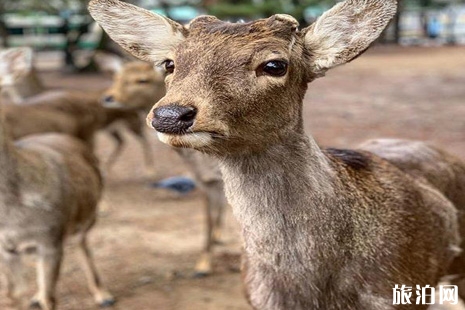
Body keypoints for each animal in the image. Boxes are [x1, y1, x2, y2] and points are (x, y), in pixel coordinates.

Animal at [0, 98, 115, 308]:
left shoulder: (50, 239)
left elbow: (50, 299)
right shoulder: (6, 248)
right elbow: (13, 295)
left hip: (86, 216)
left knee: (82, 243)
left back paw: (103, 294)